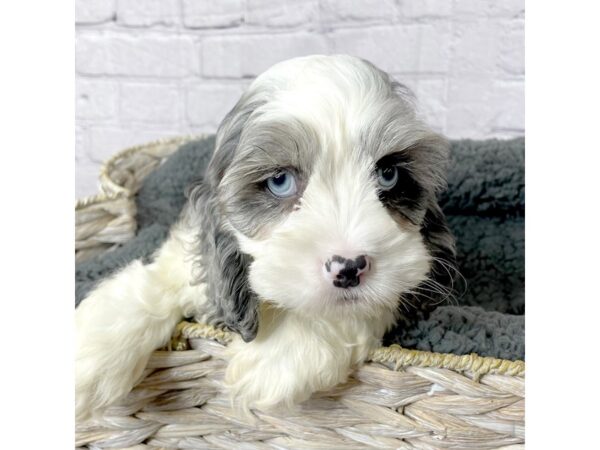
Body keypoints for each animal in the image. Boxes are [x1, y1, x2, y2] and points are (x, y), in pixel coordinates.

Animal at [77, 54, 458, 420]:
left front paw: (279, 354)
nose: (349, 267)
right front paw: (88, 355)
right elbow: (152, 283)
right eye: (280, 181)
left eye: (389, 174)